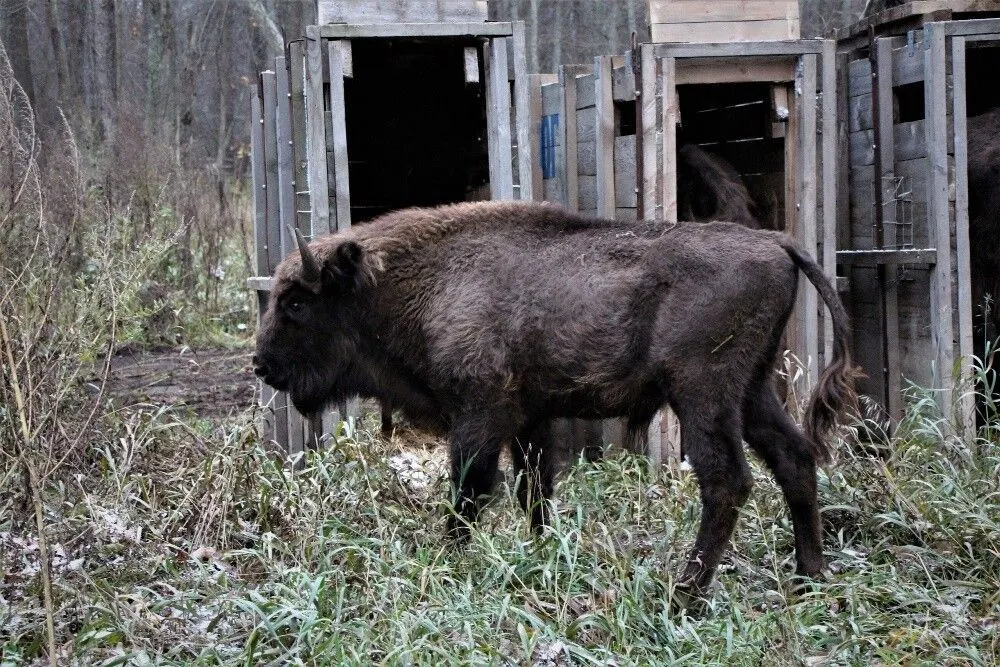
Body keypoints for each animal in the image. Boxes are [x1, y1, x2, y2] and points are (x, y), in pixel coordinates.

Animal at [256, 200, 860, 596]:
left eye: (296, 303)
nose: (262, 365)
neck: (426, 281)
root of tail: (777, 242)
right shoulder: (532, 419)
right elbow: (534, 492)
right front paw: (541, 553)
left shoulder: (480, 415)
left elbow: (469, 492)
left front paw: (448, 560)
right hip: (753, 391)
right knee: (793, 457)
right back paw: (809, 575)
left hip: (703, 395)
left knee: (726, 480)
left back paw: (683, 594)